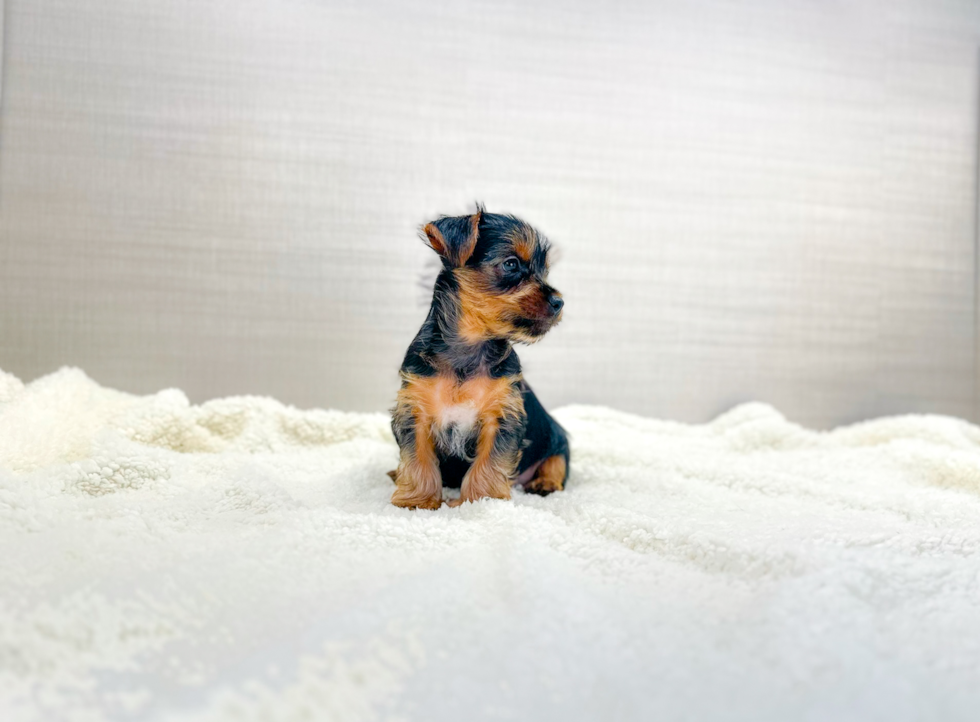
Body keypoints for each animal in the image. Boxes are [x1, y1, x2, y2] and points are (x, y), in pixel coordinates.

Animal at [388, 205, 572, 506]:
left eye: (544, 271)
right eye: (511, 264)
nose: (559, 302)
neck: (470, 345)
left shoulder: (502, 416)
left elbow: (489, 463)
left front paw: (481, 501)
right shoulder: (415, 411)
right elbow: (418, 458)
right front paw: (418, 500)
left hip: (557, 440)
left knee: (556, 464)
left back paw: (544, 483)